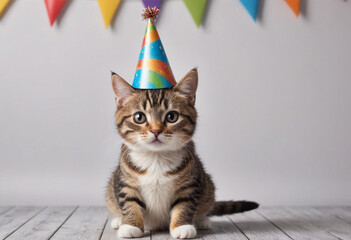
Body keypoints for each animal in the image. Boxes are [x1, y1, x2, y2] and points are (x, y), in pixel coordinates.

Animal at [104, 68, 258, 239]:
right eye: (139, 117)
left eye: (172, 116)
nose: (156, 131)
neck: (156, 157)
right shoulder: (125, 180)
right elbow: (128, 200)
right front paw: (130, 225)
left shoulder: (190, 182)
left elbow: (185, 204)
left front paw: (182, 226)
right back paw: (119, 220)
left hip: (207, 185)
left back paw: (202, 220)